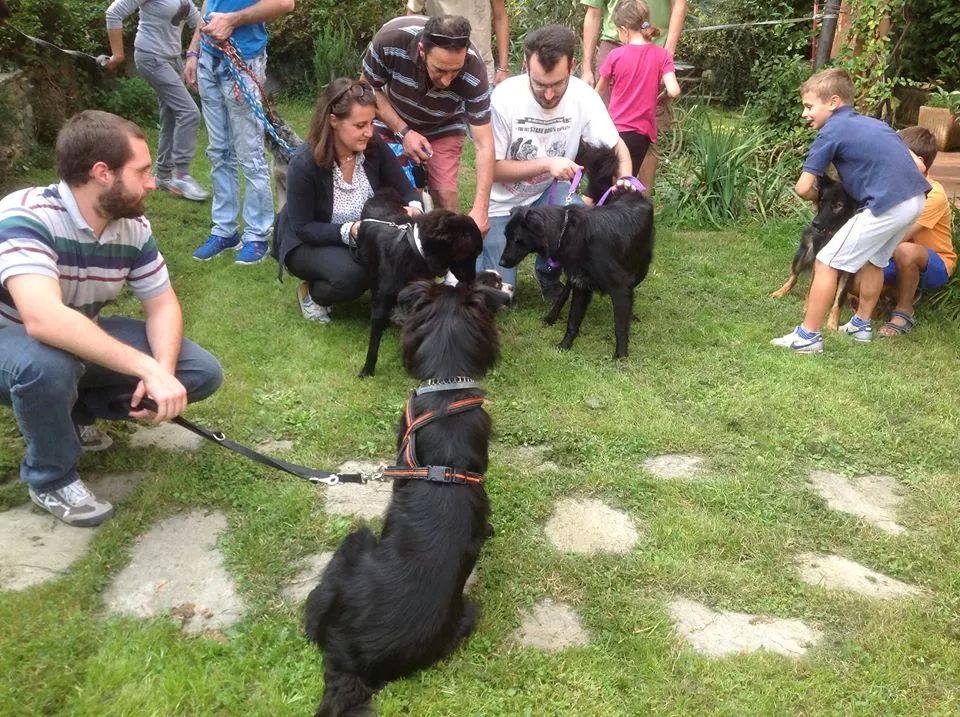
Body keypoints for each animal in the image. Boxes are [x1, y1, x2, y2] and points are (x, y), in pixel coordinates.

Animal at [353, 195, 482, 378]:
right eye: (473, 253)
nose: (472, 280)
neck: (416, 252)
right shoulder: (382, 301)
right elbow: (374, 342)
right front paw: (367, 370)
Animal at [499, 189, 654, 359]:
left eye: (517, 240)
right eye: (505, 236)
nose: (501, 263)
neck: (566, 232)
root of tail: (635, 193)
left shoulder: (620, 287)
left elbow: (620, 325)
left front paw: (621, 355)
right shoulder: (581, 284)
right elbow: (573, 320)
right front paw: (565, 345)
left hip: (641, 269)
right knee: (564, 294)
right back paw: (551, 317)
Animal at [770, 174, 859, 329]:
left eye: (838, 206)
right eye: (821, 201)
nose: (815, 223)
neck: (834, 235)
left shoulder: (848, 271)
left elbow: (840, 298)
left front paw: (832, 324)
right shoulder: (818, 261)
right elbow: (812, 288)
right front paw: (807, 308)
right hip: (804, 255)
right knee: (794, 277)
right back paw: (780, 292)